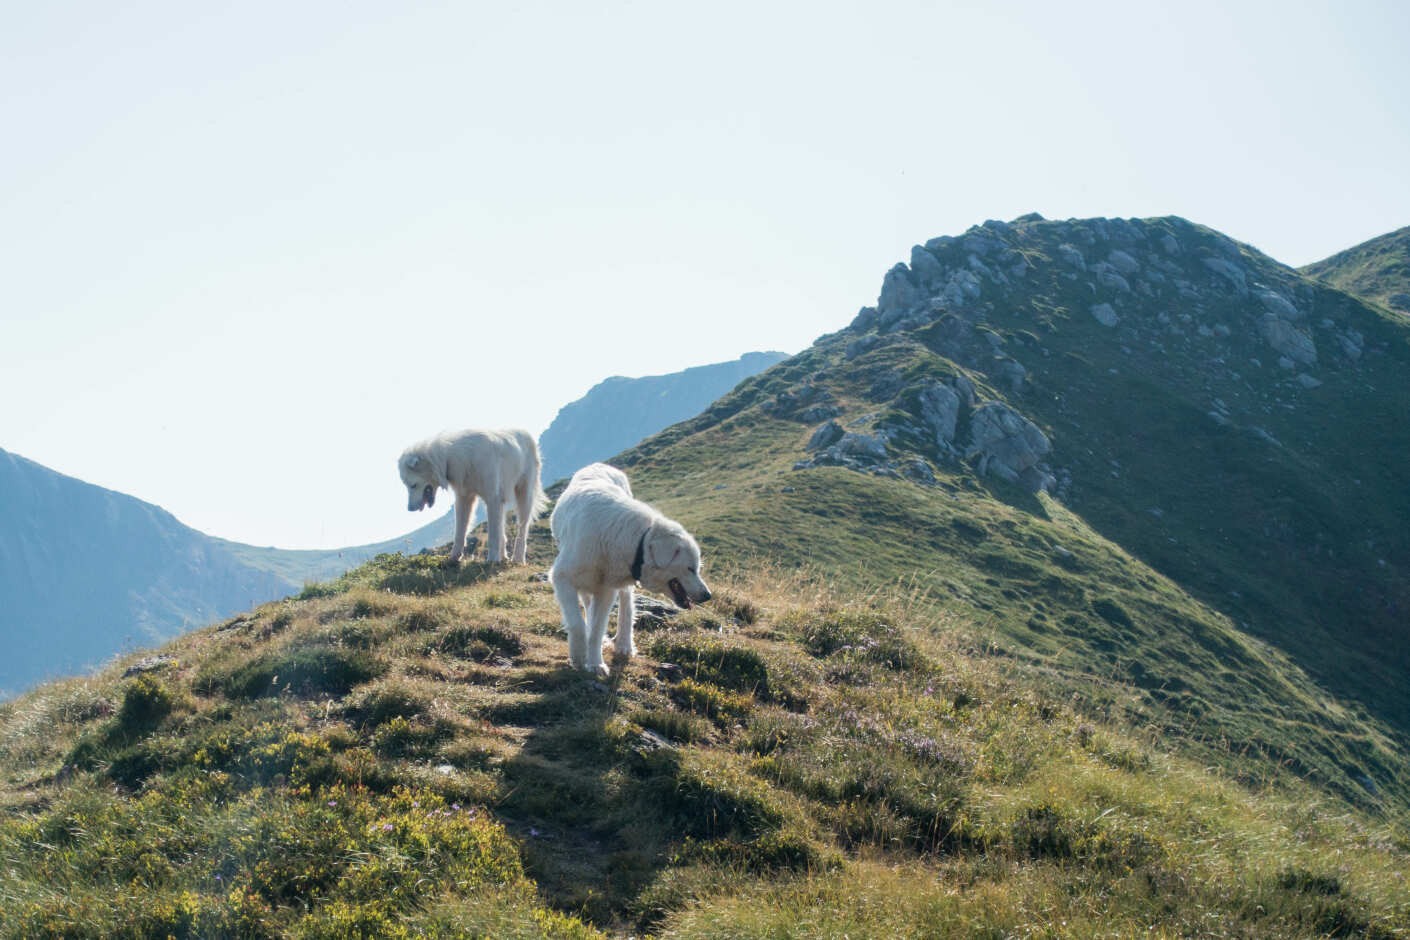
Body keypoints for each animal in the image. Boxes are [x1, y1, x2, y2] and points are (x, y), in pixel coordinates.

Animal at [403, 428, 549, 566]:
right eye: (406, 485)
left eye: (413, 485)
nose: (409, 509)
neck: (452, 457)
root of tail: (526, 433)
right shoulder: (464, 499)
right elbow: (460, 532)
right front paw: (453, 558)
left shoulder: (492, 498)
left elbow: (493, 536)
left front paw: (492, 560)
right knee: (502, 529)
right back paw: (503, 556)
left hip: (524, 495)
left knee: (522, 529)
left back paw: (517, 558)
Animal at [544, 462, 710, 676]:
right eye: (690, 568)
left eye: (696, 568)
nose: (708, 596)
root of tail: (600, 464)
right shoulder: (562, 578)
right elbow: (577, 624)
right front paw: (579, 657)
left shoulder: (606, 591)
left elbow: (597, 629)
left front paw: (596, 663)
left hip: (618, 584)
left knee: (626, 606)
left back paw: (624, 644)